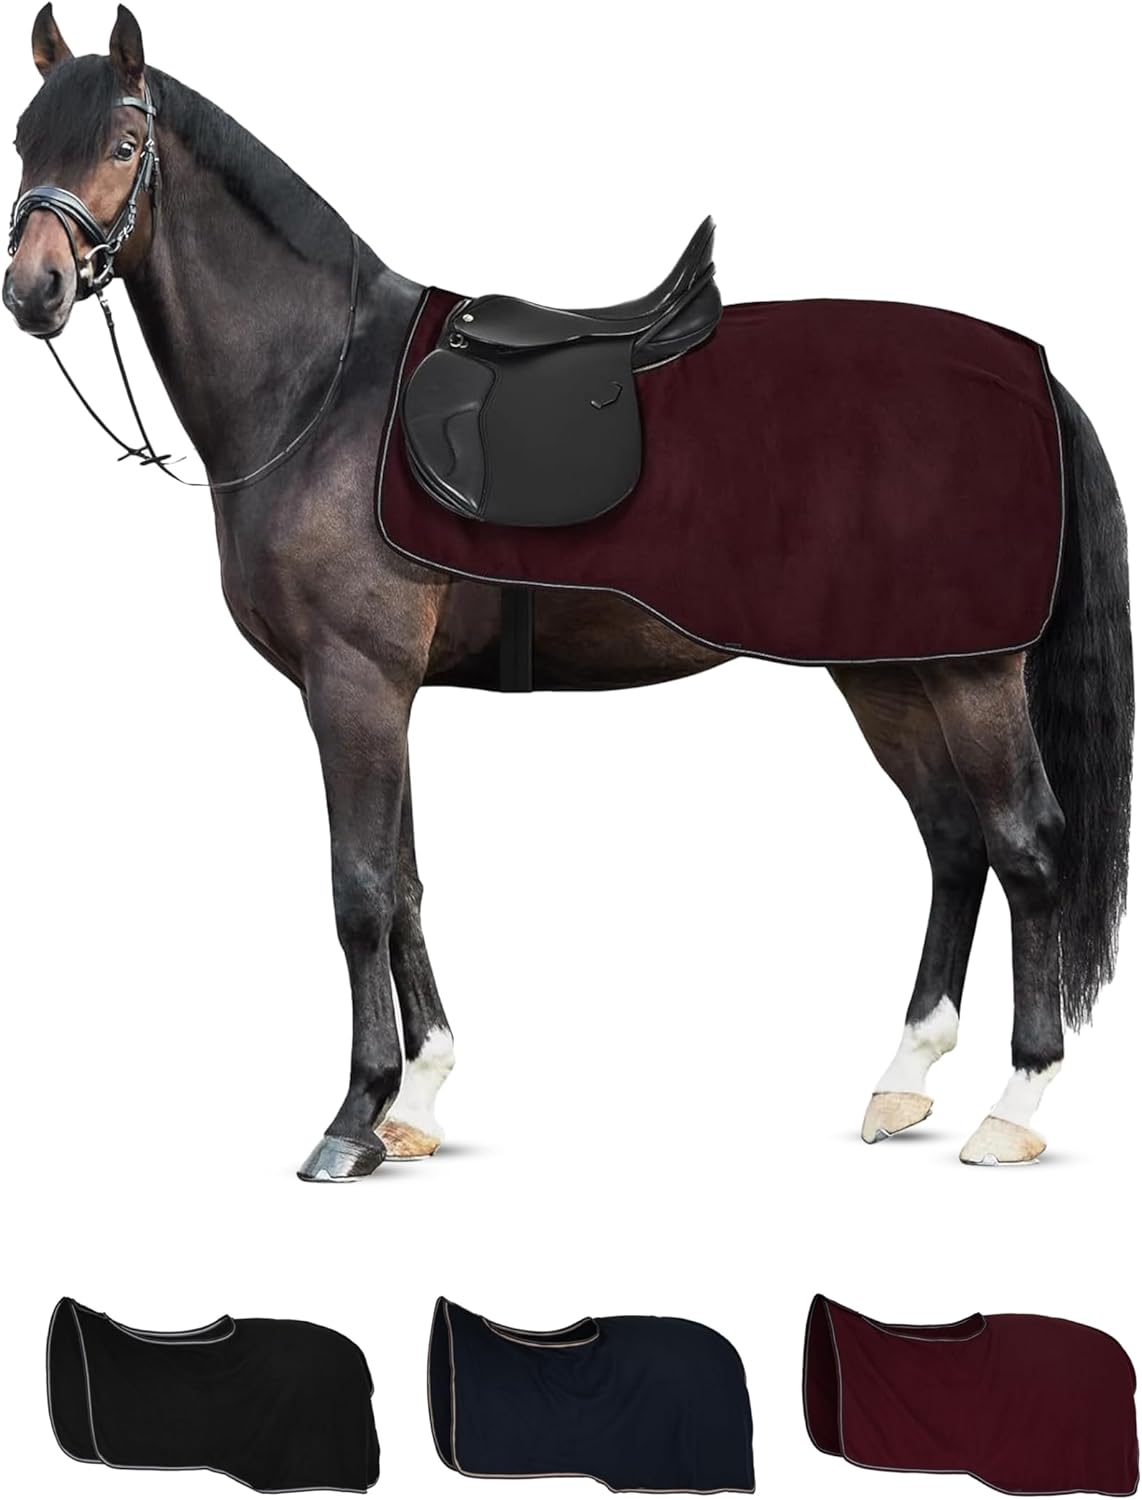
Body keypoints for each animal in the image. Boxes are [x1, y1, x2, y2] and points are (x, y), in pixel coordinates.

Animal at [6, 5, 1133, 1180]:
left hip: (969, 673)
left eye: (121, 146)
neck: (321, 385)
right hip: (887, 671)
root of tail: (1031, 374)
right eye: (24, 143)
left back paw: (1015, 1104)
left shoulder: (353, 683)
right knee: (953, 842)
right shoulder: (383, 692)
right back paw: (904, 1080)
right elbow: (405, 881)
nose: (33, 290)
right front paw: (419, 1098)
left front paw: (354, 1116)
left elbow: (358, 891)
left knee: (1026, 848)